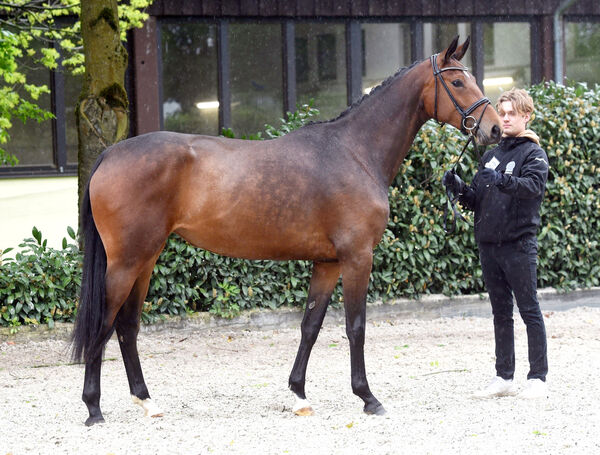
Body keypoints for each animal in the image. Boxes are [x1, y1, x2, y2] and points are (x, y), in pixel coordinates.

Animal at [71, 36, 502, 428]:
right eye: (458, 82)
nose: (495, 129)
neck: (355, 152)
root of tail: (110, 154)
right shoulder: (357, 257)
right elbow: (356, 327)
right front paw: (368, 397)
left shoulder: (328, 263)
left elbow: (310, 326)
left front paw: (298, 395)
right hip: (126, 263)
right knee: (105, 324)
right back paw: (93, 408)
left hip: (146, 260)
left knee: (127, 327)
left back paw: (147, 402)